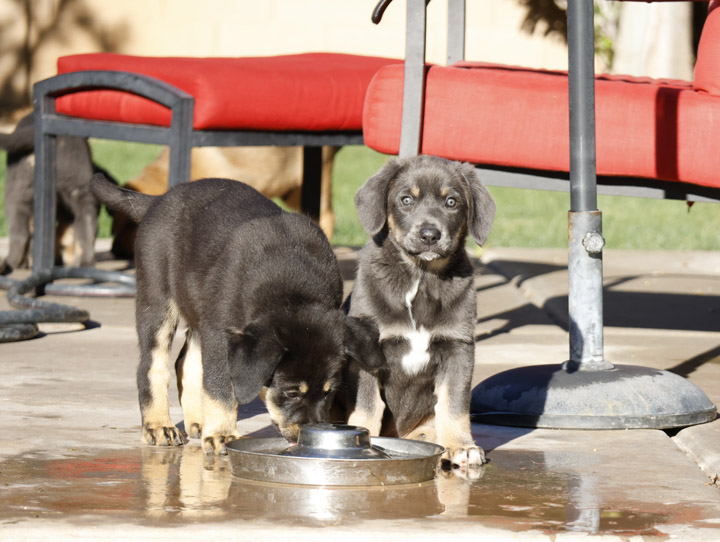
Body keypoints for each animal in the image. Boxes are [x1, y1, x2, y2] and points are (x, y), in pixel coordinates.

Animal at [90, 174, 386, 454]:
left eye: (329, 391)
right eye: (291, 391)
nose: (310, 433)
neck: (293, 293)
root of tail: (159, 200)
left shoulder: (218, 329)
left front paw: (215, 428)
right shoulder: (220, 334)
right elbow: (221, 387)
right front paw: (222, 434)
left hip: (199, 306)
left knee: (186, 360)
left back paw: (198, 420)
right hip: (157, 299)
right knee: (153, 365)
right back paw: (159, 426)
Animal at [344, 154, 496, 472]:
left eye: (451, 202)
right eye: (406, 200)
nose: (429, 235)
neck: (420, 278)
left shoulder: (457, 347)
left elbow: (454, 404)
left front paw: (461, 446)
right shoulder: (366, 350)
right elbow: (367, 405)